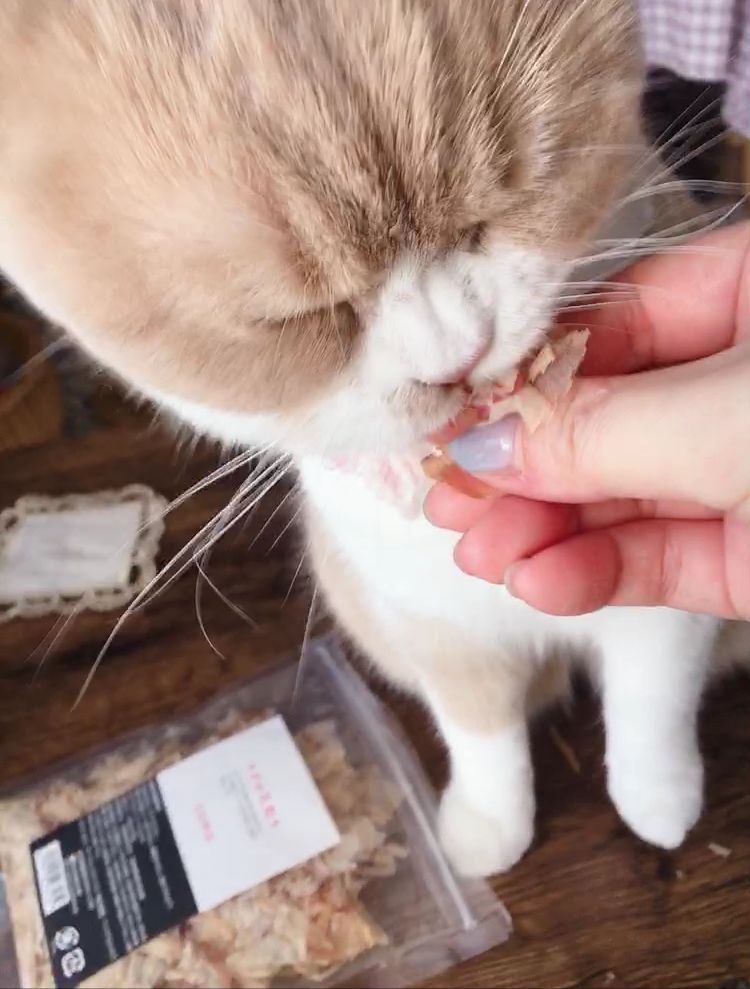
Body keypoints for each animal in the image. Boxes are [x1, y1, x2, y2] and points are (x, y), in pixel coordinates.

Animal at [0, 0, 735, 876]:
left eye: (508, 202)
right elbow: (484, 738)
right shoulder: (435, 629)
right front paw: (490, 829)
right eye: (296, 319)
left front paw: (660, 801)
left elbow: (652, 703)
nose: (456, 356)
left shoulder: (659, 608)